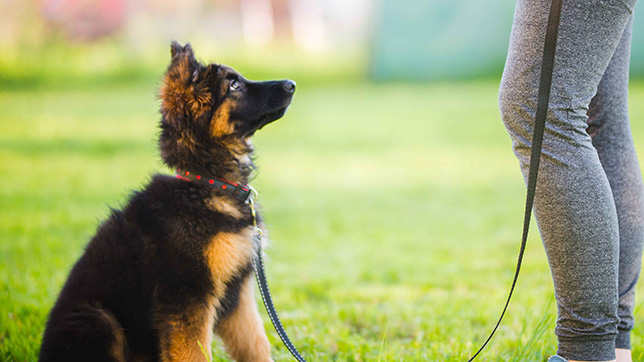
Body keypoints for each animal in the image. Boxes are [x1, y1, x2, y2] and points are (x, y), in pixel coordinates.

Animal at [37, 42, 294, 362]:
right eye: (234, 86)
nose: (292, 84)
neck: (207, 184)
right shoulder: (188, 295)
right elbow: (195, 353)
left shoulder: (239, 293)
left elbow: (256, 344)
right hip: (98, 320)